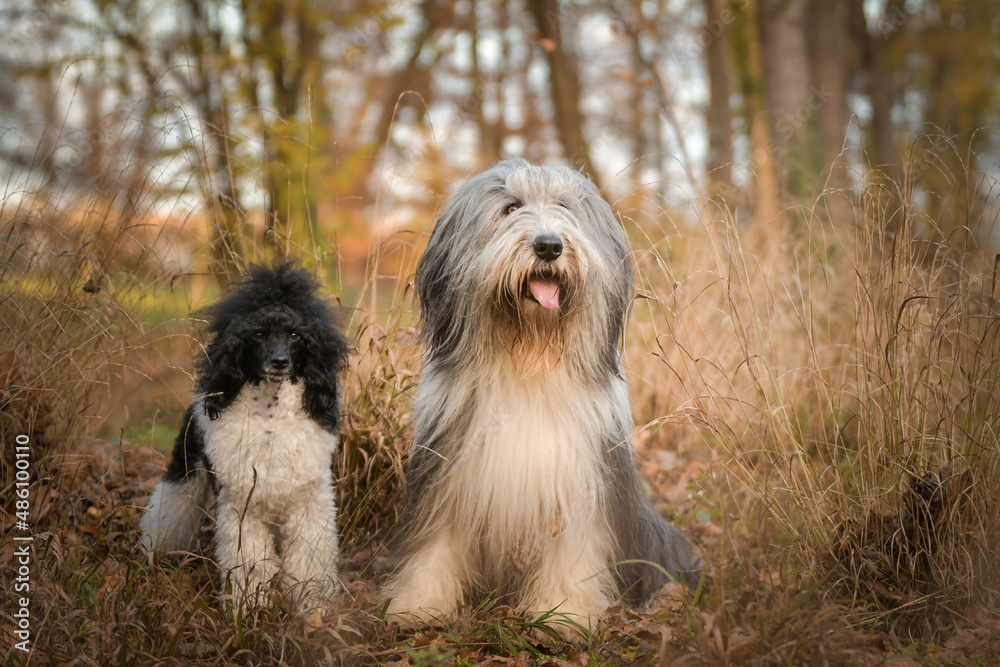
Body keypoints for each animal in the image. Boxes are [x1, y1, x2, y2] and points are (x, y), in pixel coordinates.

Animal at [384, 159, 704, 636]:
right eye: (510, 208)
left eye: (565, 207)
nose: (550, 246)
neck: (529, 359)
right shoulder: (445, 474)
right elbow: (433, 543)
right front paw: (418, 606)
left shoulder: (580, 484)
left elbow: (574, 549)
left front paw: (563, 614)